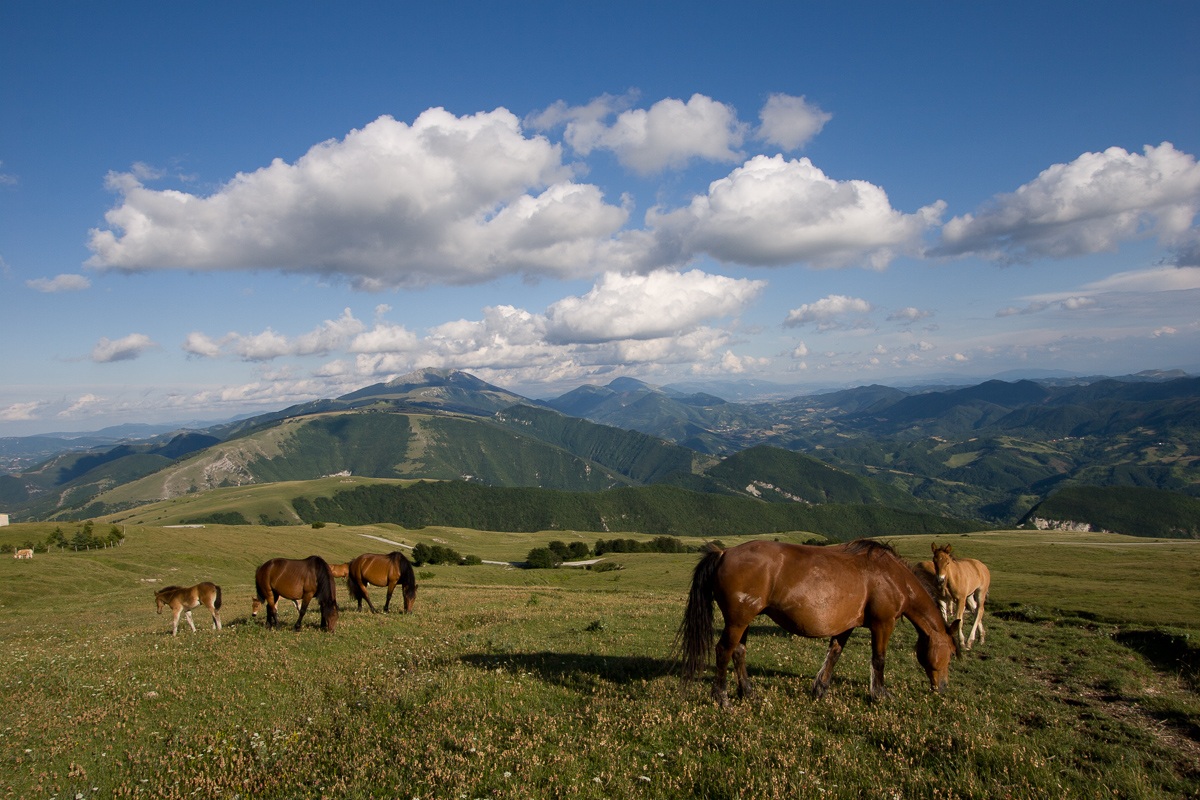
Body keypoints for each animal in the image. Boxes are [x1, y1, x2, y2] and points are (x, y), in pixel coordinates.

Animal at [680, 539, 957, 705]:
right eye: (952, 653)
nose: (943, 688)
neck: (891, 575)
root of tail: (724, 553)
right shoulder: (883, 624)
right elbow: (878, 659)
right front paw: (880, 694)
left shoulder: (846, 625)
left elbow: (833, 654)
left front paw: (820, 688)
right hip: (737, 621)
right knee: (723, 651)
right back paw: (721, 697)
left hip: (743, 621)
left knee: (738, 652)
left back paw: (748, 692)